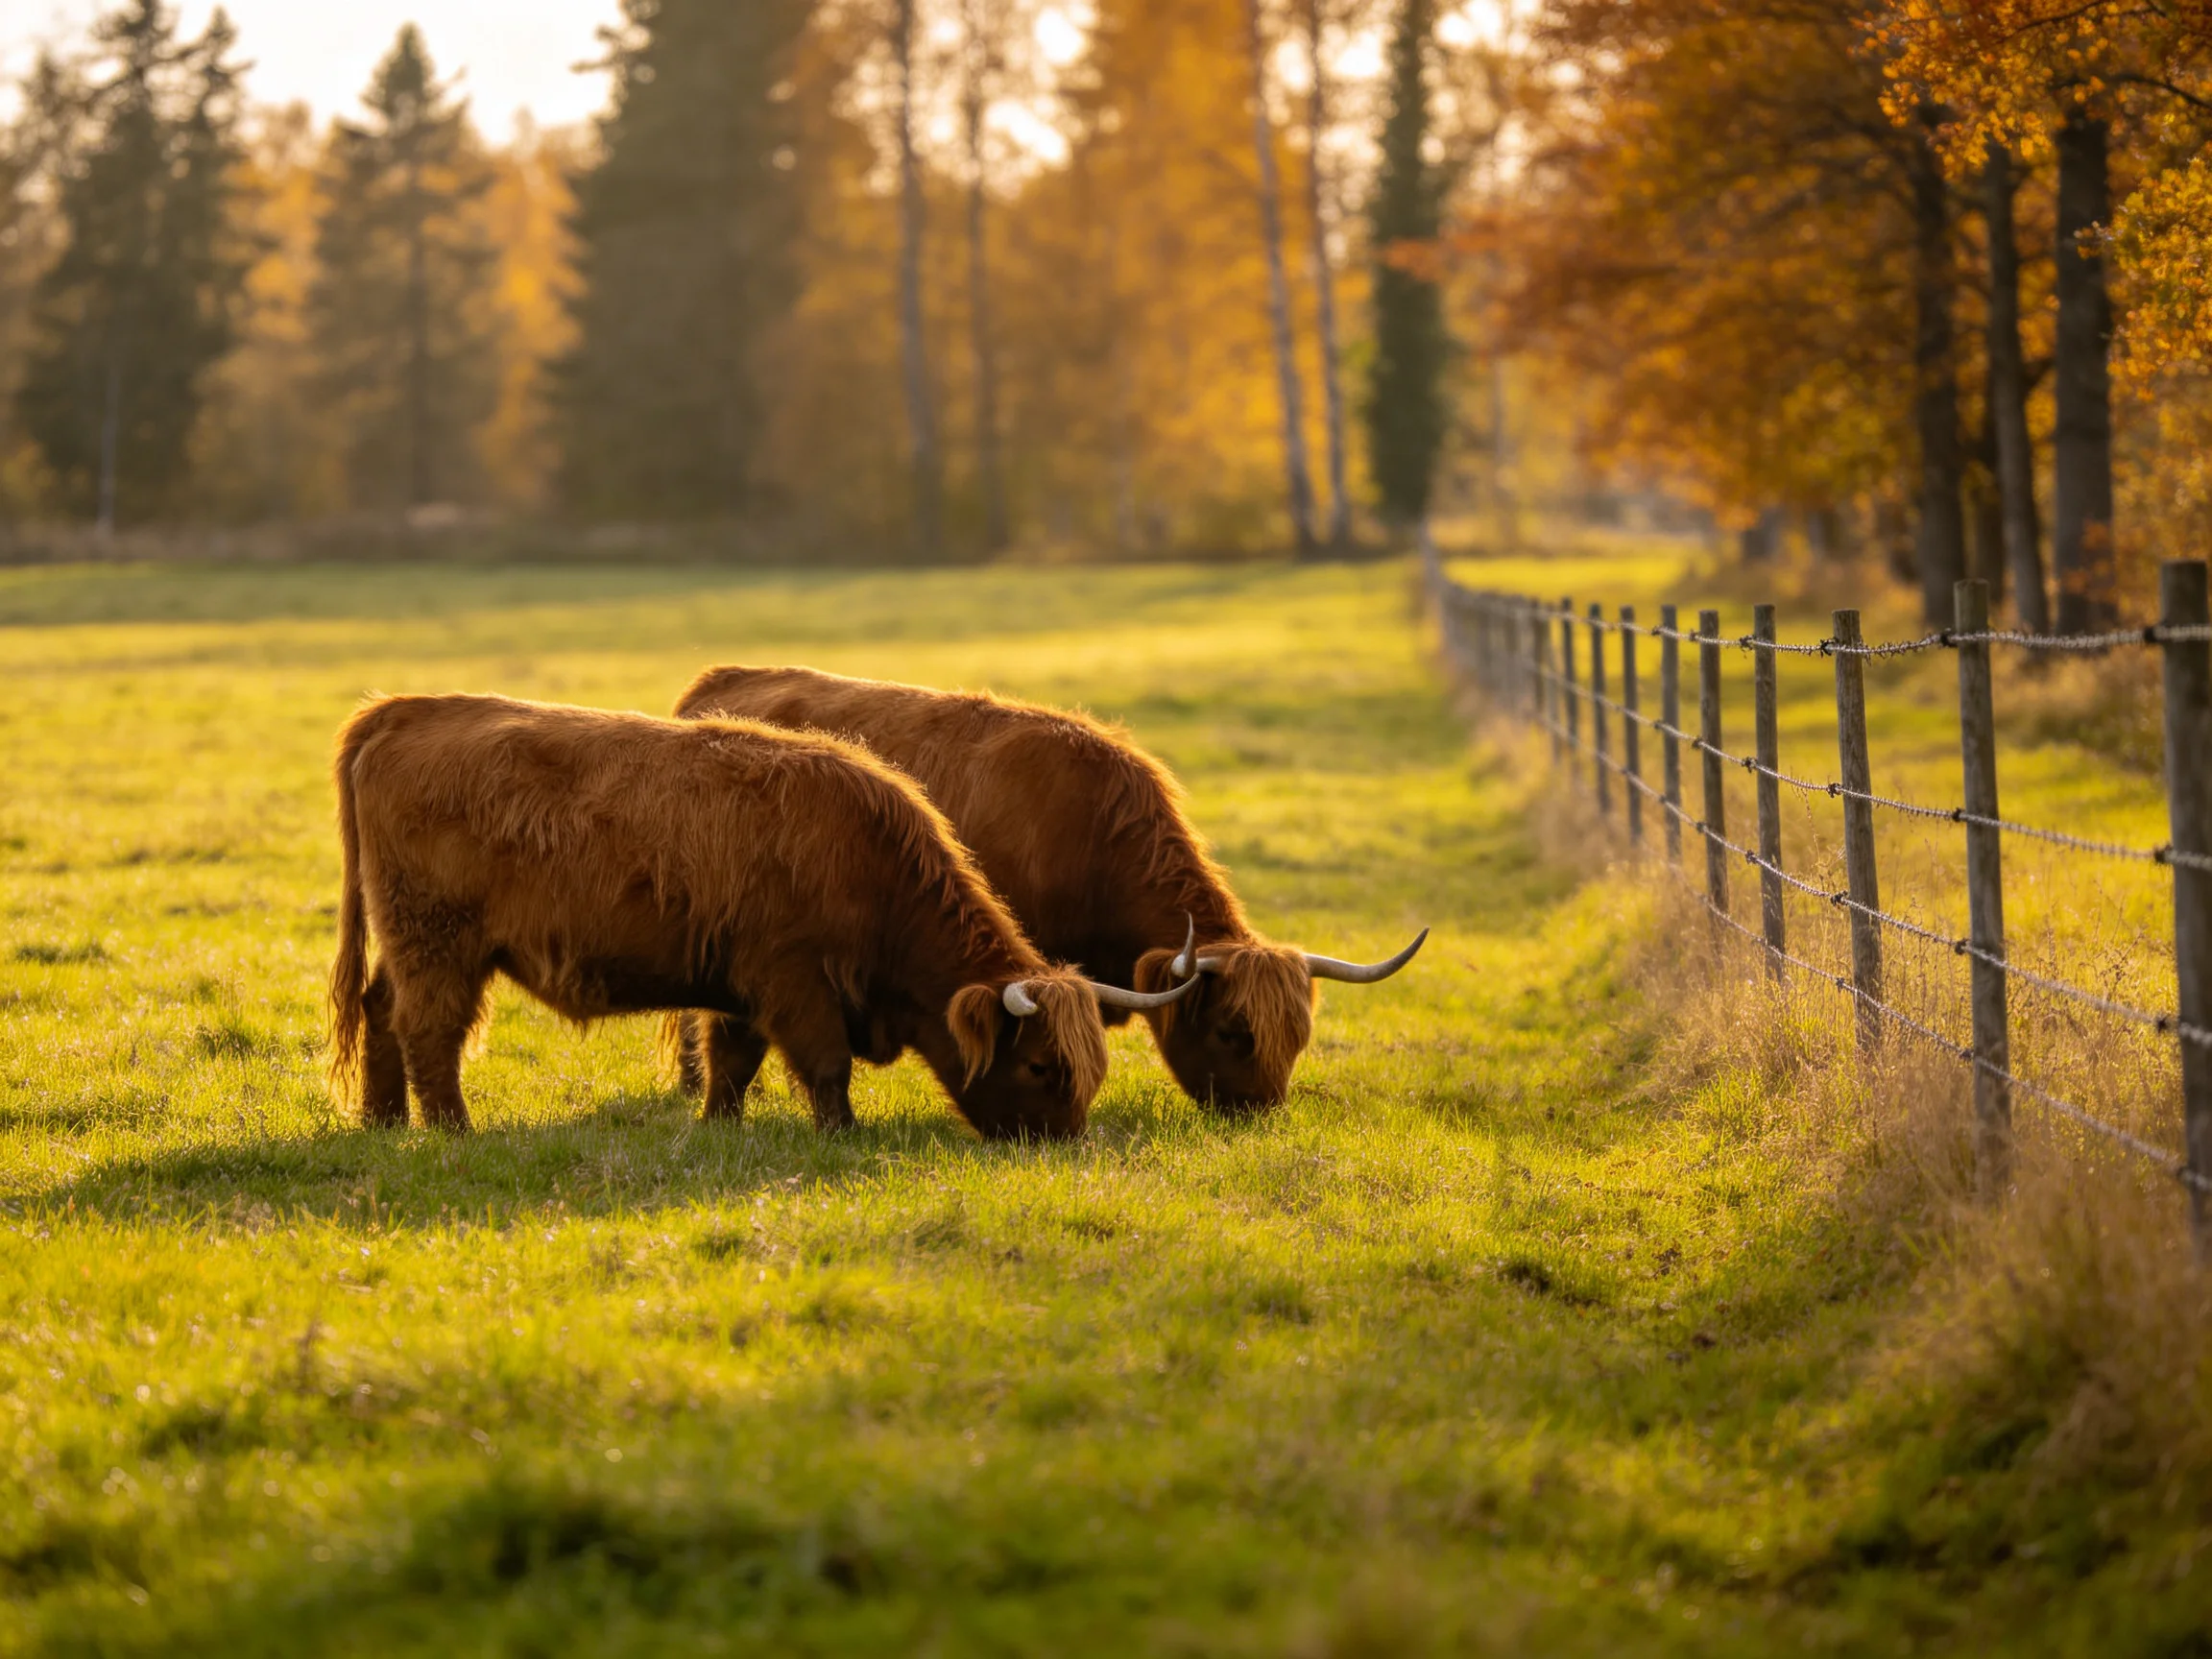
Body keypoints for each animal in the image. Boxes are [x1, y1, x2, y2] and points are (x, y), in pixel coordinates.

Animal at [326, 693, 1198, 1139]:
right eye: (1043, 1067)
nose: (1064, 1143)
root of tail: (404, 711)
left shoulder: (739, 985)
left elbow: (731, 1061)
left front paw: (719, 1125)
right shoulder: (792, 978)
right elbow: (824, 1064)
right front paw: (840, 1135)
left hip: (408, 941)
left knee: (380, 1010)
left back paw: (381, 1122)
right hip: (440, 941)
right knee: (429, 1029)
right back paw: (451, 1130)